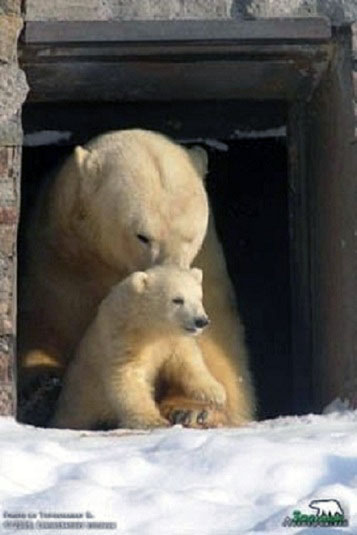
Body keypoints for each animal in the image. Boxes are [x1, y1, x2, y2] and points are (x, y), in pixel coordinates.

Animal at [50, 268, 225, 432]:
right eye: (177, 300)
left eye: (199, 298)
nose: (201, 321)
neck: (148, 326)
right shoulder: (122, 338)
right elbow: (128, 378)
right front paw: (152, 421)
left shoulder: (171, 339)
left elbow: (186, 361)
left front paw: (215, 392)